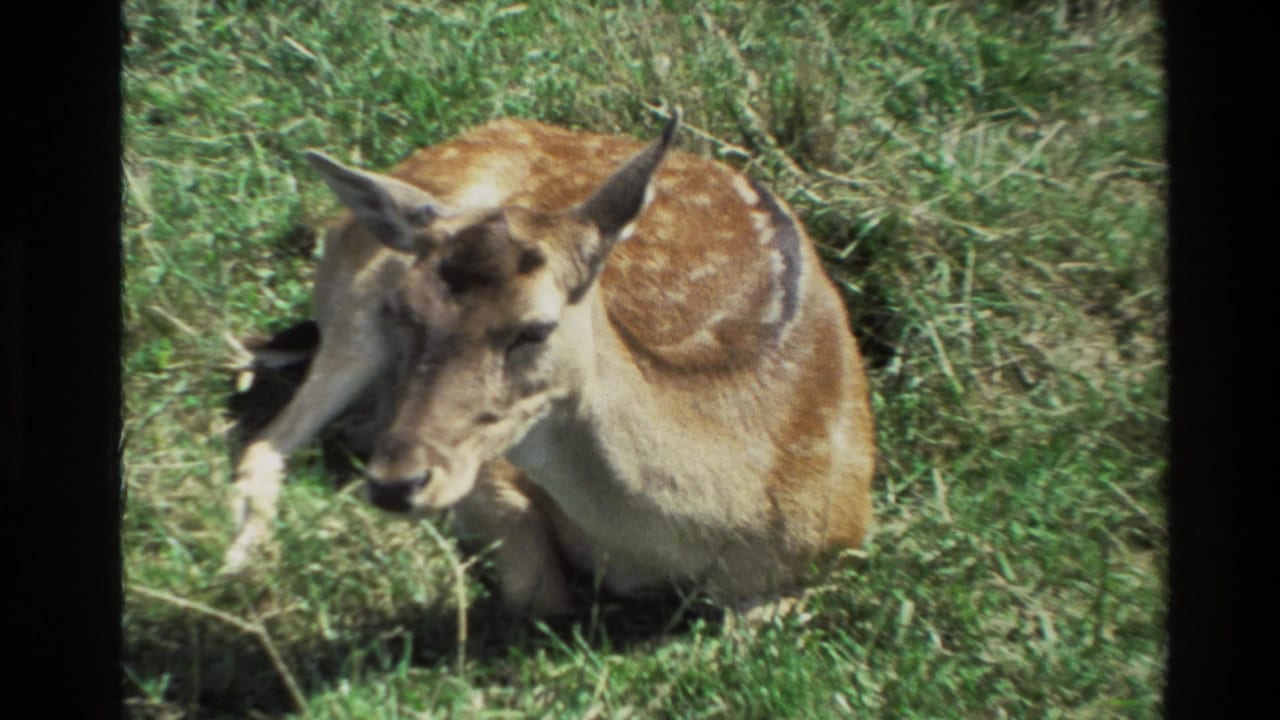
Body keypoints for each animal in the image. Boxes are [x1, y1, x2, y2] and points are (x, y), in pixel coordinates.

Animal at [222, 110, 875, 619]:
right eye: (403, 309)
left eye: (534, 328)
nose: (394, 482)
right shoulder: (493, 464)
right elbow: (542, 596)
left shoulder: (830, 548)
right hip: (355, 306)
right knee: (264, 442)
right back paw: (242, 563)